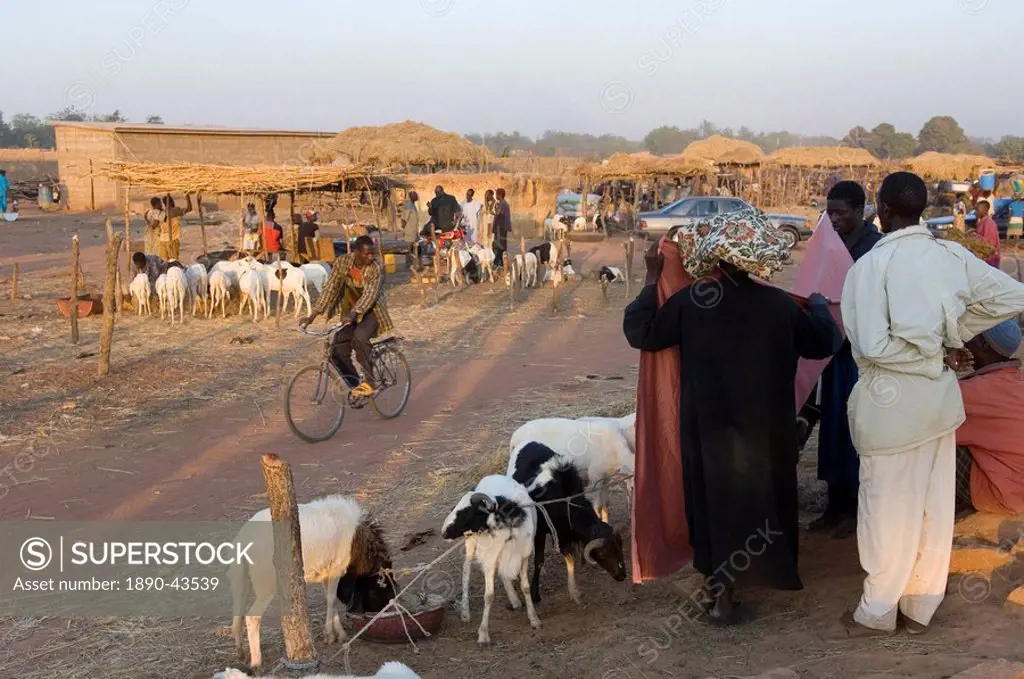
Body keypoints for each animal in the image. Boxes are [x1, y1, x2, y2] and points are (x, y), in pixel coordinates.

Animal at [230, 493, 397, 667]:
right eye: (384, 587)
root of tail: (244, 538)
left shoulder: (327, 573)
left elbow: (330, 599)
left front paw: (338, 634)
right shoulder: (336, 569)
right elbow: (332, 601)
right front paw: (331, 635)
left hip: (240, 579)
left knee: (237, 613)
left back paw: (241, 653)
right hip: (266, 583)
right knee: (251, 617)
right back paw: (256, 662)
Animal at [446, 475, 548, 647]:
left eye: (466, 512)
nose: (443, 532)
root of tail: (492, 476)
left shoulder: (523, 556)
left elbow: (526, 587)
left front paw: (534, 619)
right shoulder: (489, 560)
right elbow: (489, 595)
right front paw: (483, 635)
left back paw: (514, 600)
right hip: (471, 541)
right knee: (466, 570)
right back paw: (465, 612)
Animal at [509, 440, 626, 606]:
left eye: (620, 547)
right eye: (602, 553)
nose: (622, 575)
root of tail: (528, 442)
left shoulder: (565, 534)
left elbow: (570, 559)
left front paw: (573, 591)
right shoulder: (541, 532)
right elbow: (539, 561)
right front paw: (535, 594)